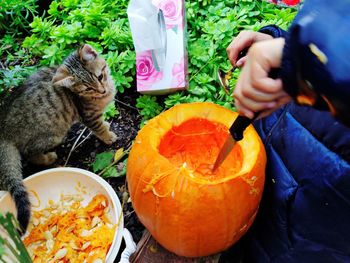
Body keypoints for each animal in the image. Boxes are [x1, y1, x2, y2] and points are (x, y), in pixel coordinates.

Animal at [0, 44, 117, 233]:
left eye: (100, 76)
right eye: (88, 89)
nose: (102, 90)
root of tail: (3, 128)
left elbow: (102, 124)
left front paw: (107, 125)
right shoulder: (89, 116)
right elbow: (98, 128)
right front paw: (108, 136)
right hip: (54, 135)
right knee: (29, 153)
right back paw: (48, 158)